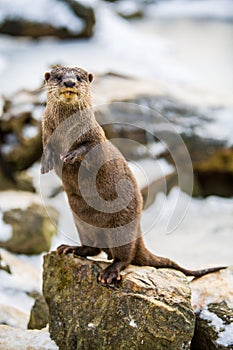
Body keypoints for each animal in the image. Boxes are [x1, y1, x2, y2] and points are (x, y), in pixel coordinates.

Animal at [41, 65, 226, 284]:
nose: (69, 82)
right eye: (58, 76)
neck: (66, 133)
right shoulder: (46, 131)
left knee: (124, 256)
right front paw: (46, 162)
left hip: (122, 225)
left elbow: (89, 147)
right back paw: (72, 248)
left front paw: (71, 155)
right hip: (82, 223)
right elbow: (46, 147)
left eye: (79, 77)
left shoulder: (96, 135)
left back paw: (110, 272)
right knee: (94, 248)